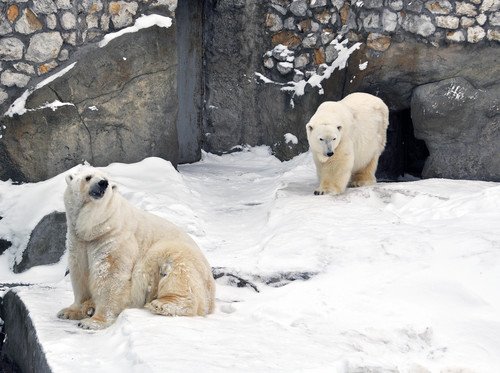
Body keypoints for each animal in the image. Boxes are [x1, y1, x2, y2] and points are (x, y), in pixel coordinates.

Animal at [57, 166, 217, 328]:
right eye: (88, 177)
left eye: (106, 180)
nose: (103, 183)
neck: (95, 227)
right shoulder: (79, 241)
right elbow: (80, 271)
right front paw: (70, 311)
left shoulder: (113, 238)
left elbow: (110, 275)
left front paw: (93, 321)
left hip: (181, 256)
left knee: (177, 269)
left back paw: (161, 304)